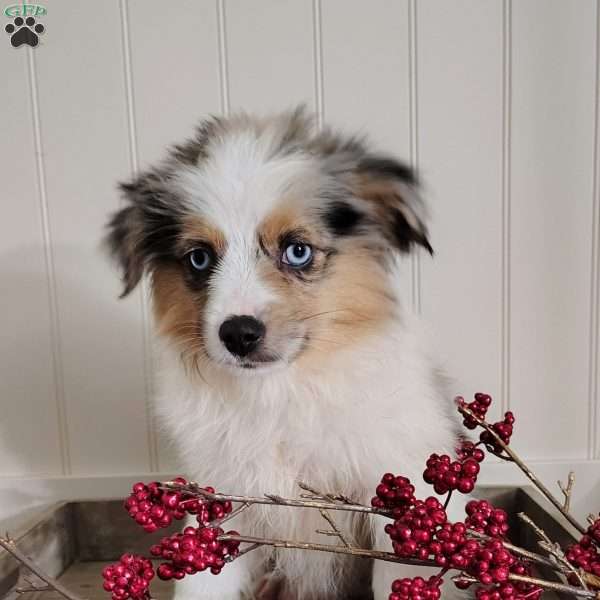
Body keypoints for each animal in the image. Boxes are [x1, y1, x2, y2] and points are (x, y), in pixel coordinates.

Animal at [105, 109, 460, 600]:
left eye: (297, 250)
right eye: (199, 258)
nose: (238, 334)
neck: (280, 391)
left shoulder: (395, 482)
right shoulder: (222, 495)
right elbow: (202, 583)